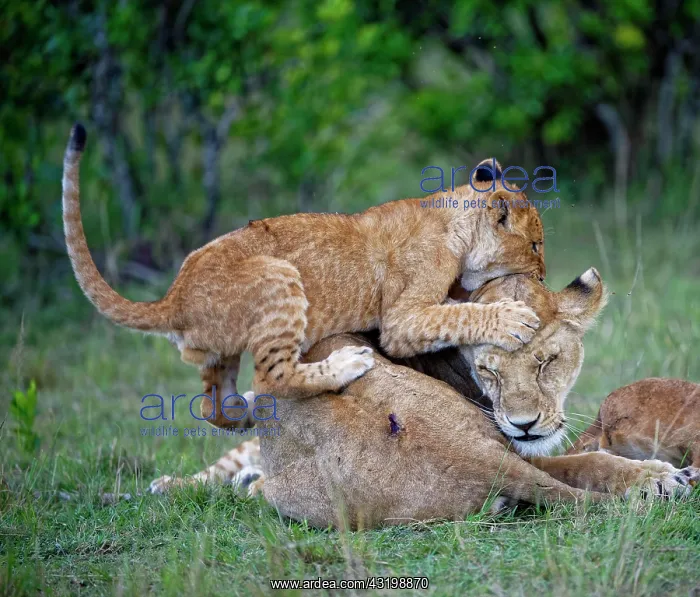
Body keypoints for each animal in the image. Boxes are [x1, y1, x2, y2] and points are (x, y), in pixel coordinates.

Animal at [62, 125, 544, 419]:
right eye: (537, 245)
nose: (542, 276)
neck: (452, 218)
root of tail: (173, 296)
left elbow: (455, 304)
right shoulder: (400, 321)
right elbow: (453, 313)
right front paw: (513, 319)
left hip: (217, 352)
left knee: (214, 408)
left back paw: (240, 415)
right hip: (278, 276)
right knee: (273, 377)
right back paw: (346, 363)